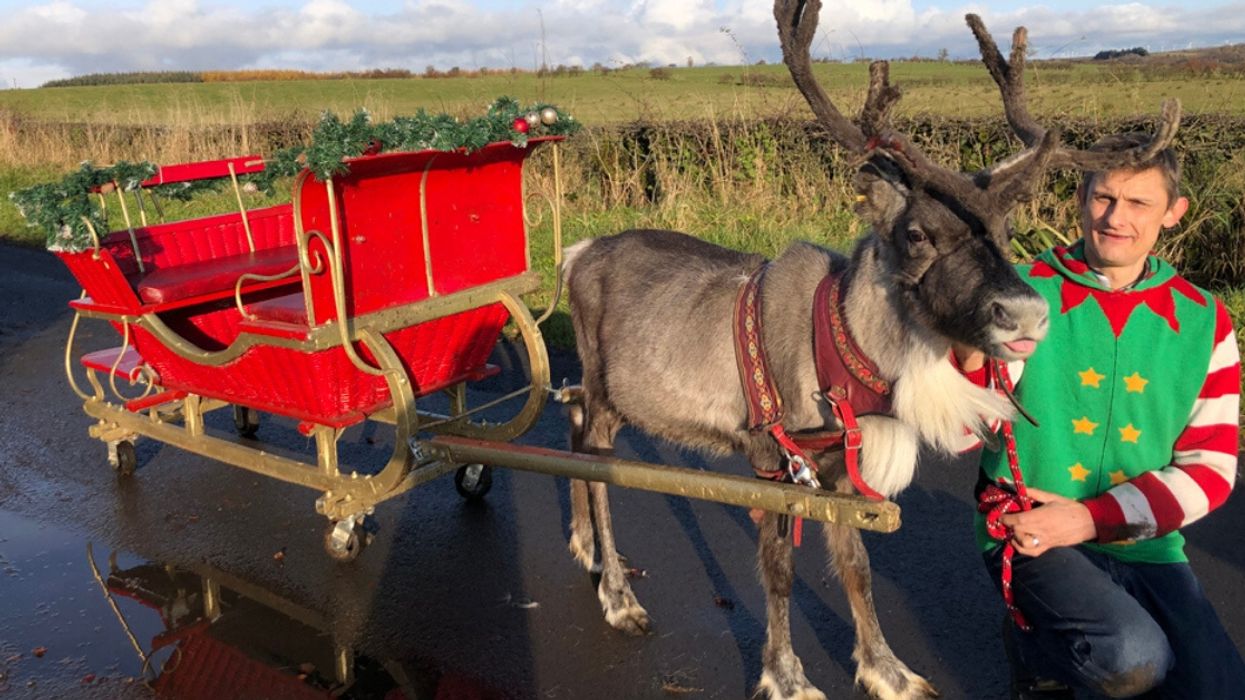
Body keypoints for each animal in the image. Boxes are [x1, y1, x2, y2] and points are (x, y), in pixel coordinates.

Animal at [559, 1, 1181, 698]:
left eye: (1006, 228)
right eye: (917, 233)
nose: (1025, 314)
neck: (844, 350)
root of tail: (576, 253)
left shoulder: (836, 470)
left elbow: (856, 566)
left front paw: (888, 670)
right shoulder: (771, 459)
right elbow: (779, 570)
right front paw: (787, 676)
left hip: (607, 395)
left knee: (573, 421)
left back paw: (589, 552)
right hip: (608, 390)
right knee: (595, 462)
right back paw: (618, 596)